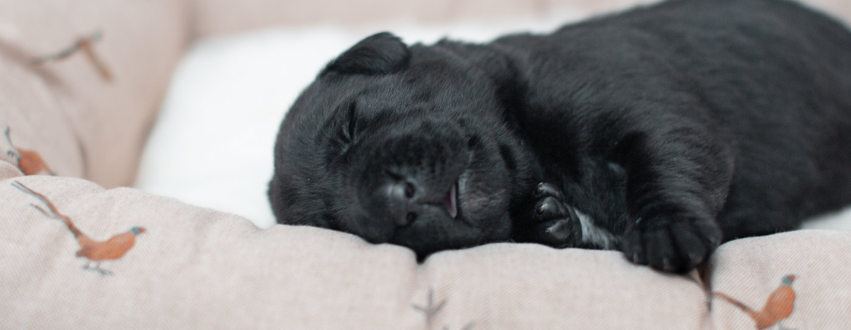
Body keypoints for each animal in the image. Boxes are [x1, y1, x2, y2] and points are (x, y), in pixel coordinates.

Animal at [270, 0, 851, 274]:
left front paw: (665, 230)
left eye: (350, 125)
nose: (398, 201)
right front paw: (549, 219)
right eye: (341, 225)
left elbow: (665, 157)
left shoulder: (648, 107)